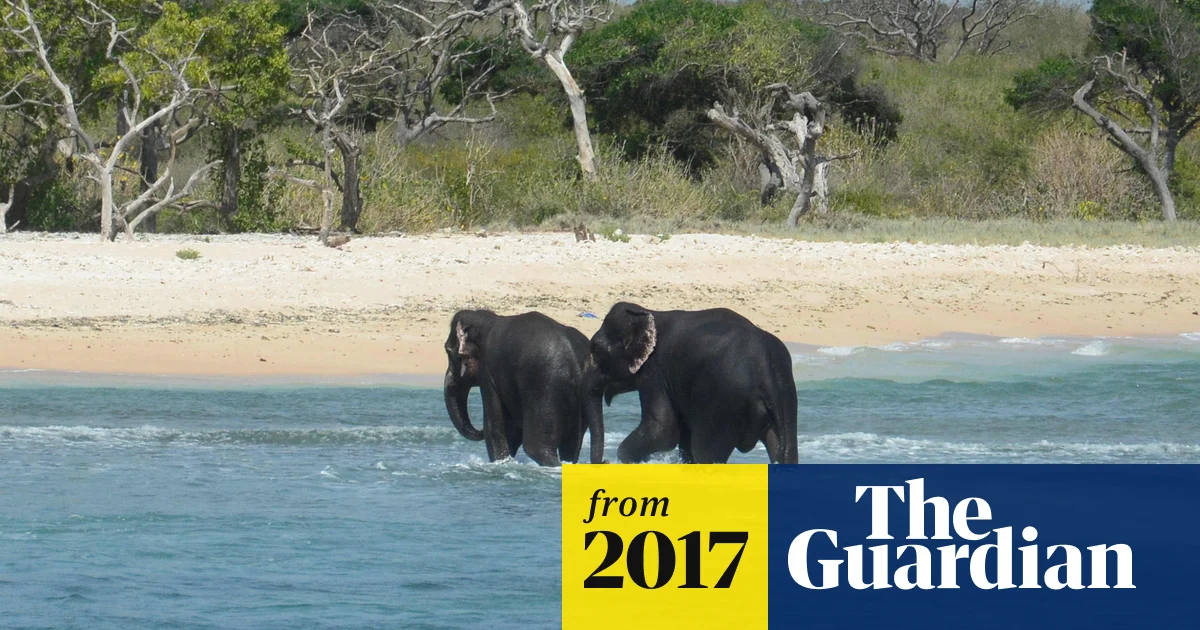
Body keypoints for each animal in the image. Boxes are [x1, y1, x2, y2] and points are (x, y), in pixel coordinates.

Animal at [444, 309, 605, 466]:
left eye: (447, 350)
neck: (487, 318)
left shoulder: (488, 370)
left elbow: (497, 427)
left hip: (543, 389)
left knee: (537, 448)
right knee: (571, 447)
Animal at [585, 302, 798, 464]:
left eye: (596, 349)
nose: (605, 461)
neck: (650, 312)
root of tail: (765, 366)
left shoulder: (655, 372)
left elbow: (664, 430)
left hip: (723, 403)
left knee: (704, 452)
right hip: (785, 392)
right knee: (784, 450)